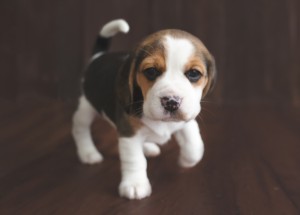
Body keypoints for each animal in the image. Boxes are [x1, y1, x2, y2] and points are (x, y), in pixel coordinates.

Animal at [74, 19, 217, 199]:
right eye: (151, 71)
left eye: (193, 73)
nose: (171, 102)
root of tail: (97, 57)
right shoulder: (129, 133)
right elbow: (135, 159)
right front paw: (135, 184)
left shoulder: (187, 118)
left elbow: (195, 145)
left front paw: (186, 160)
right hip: (85, 107)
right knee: (80, 129)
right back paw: (88, 153)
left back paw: (149, 147)